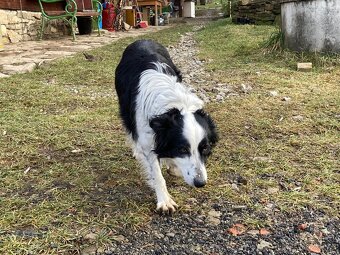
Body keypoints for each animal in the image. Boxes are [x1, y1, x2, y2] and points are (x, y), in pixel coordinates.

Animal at [115, 39, 218, 214]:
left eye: (205, 148)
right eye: (182, 149)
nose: (200, 183)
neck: (173, 106)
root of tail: (142, 40)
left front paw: (173, 167)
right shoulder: (148, 139)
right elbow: (157, 174)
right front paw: (164, 201)